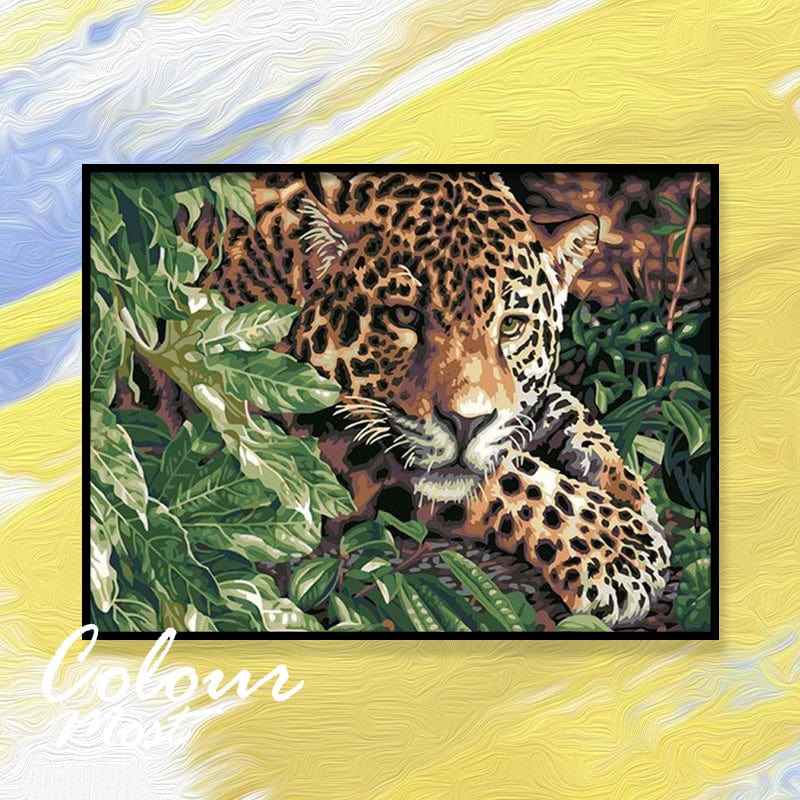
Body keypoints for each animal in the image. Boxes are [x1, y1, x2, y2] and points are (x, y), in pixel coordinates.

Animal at [165, 170, 670, 628]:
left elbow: (559, 410)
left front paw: (626, 486)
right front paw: (619, 547)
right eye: (404, 316)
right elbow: (510, 477)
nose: (466, 423)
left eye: (511, 325)